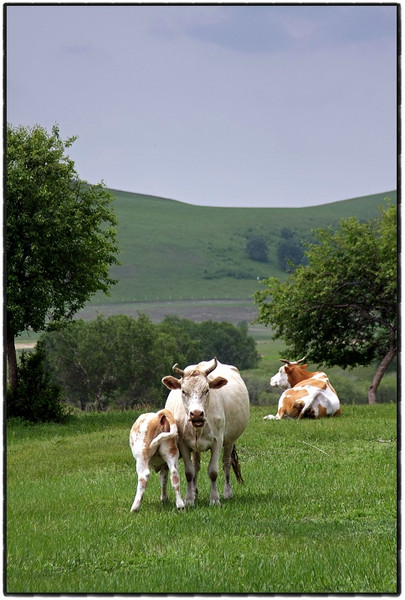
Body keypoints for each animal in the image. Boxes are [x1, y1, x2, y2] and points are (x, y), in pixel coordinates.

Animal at [161, 356, 249, 506]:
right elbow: (189, 472)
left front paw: (214, 499)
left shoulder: (217, 441)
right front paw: (189, 499)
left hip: (230, 441)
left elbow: (213, 471)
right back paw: (195, 492)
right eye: (183, 391)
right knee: (196, 465)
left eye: (207, 390)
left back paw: (227, 492)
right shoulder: (183, 443)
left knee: (226, 464)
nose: (196, 414)